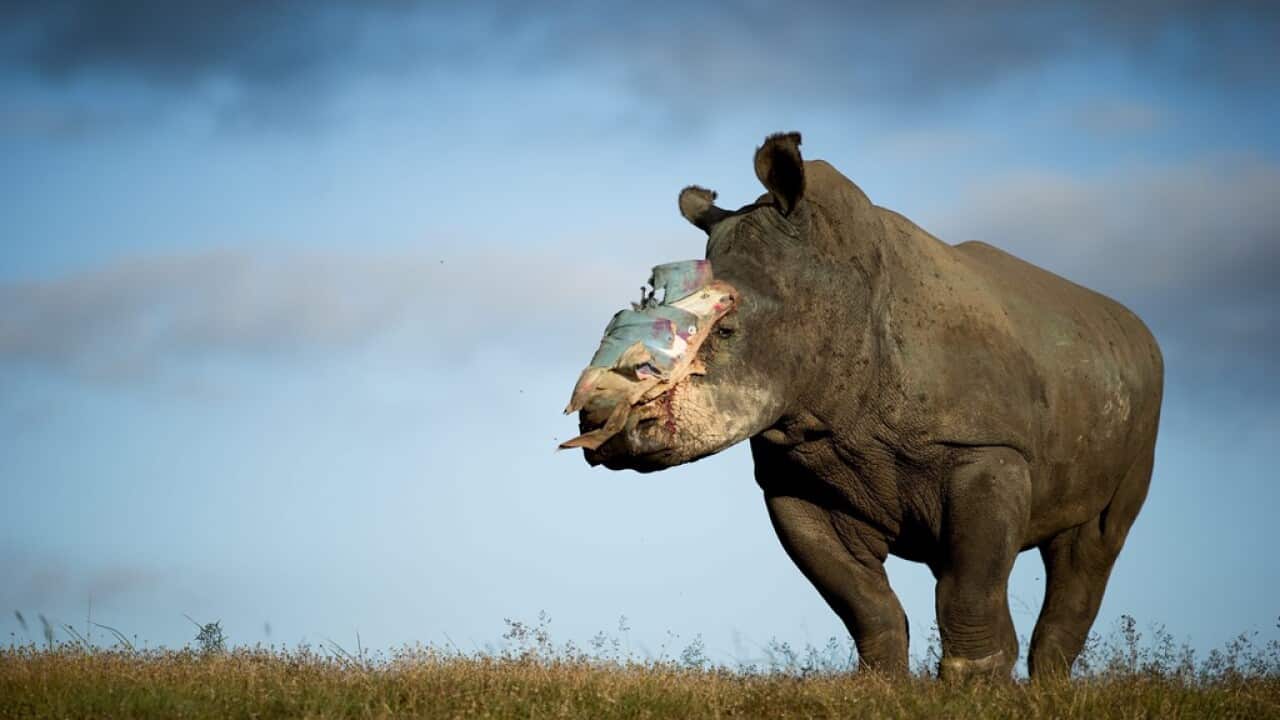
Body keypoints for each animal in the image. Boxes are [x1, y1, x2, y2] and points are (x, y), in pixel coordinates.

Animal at [562, 132, 1163, 680]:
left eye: (726, 331)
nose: (600, 423)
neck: (834, 292)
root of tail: (1136, 331)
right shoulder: (794, 477)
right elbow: (862, 601)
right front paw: (882, 685)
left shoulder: (986, 448)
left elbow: (969, 585)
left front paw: (975, 689)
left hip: (1140, 393)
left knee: (1092, 546)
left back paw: (1049, 688)